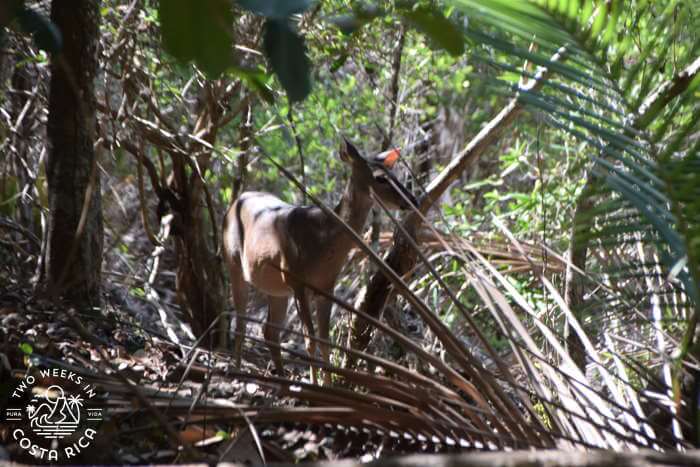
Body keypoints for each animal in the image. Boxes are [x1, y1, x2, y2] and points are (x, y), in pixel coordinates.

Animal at [223, 138, 416, 384]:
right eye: (381, 178)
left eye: (396, 174)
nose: (412, 200)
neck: (322, 241)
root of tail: (234, 203)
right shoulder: (297, 280)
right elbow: (310, 340)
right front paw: (315, 385)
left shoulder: (326, 286)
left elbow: (325, 340)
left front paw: (328, 385)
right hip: (235, 263)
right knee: (240, 321)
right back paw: (238, 370)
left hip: (277, 288)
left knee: (269, 331)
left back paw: (281, 377)